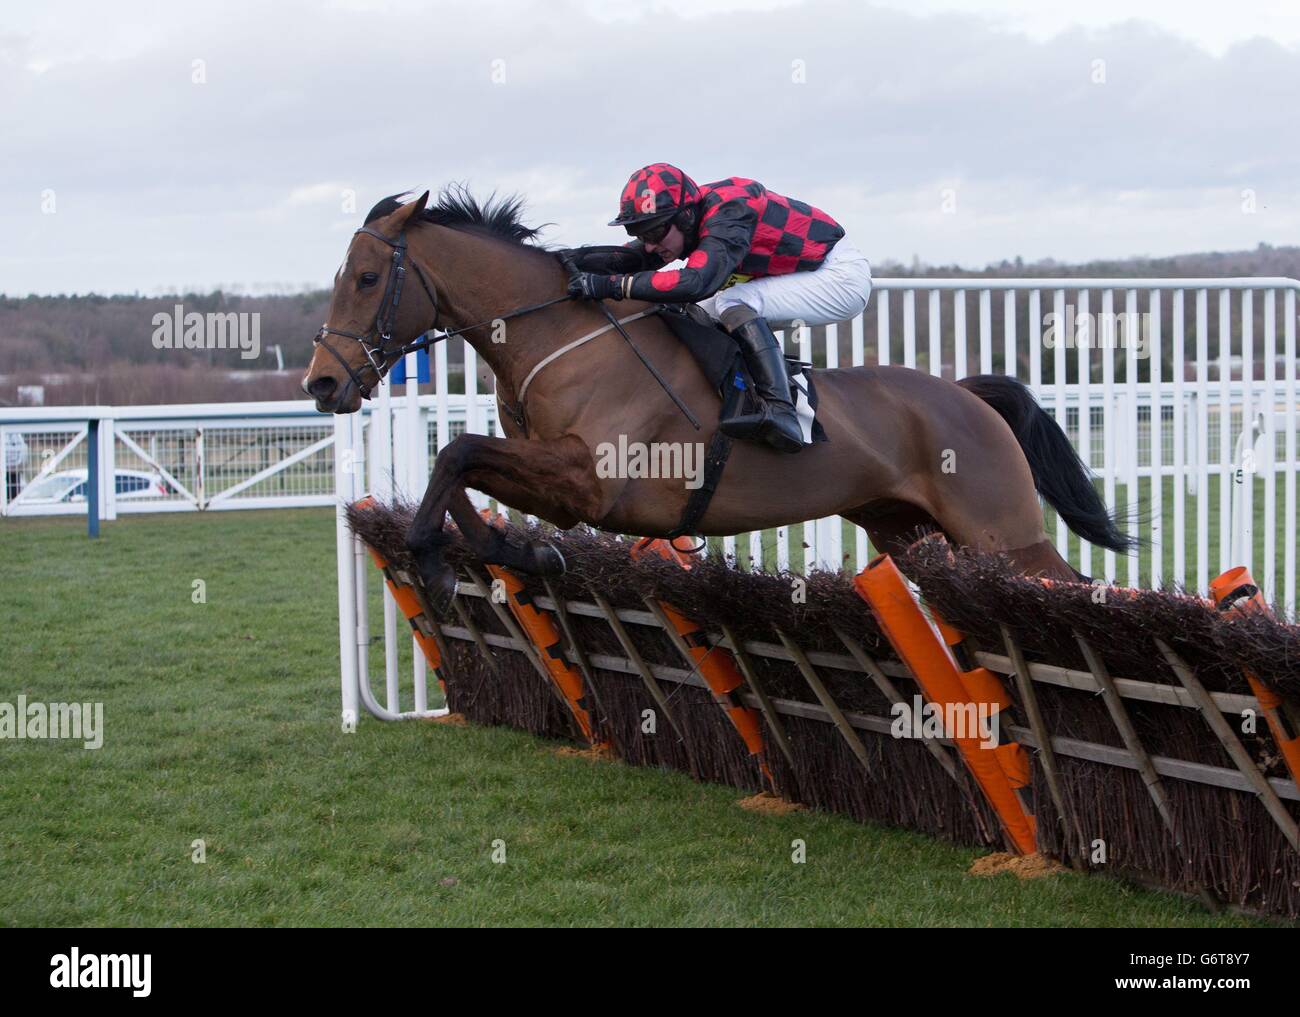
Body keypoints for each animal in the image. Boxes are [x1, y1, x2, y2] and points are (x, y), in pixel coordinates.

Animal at [301, 188, 1128, 613]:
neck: (561, 333)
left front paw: (437, 566)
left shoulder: (591, 481)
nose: (322, 383)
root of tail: (966, 395)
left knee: (1067, 583)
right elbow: (461, 467)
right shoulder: (556, 473)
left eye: (367, 279)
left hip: (1001, 532)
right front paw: (517, 550)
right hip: (910, 531)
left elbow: (457, 452)